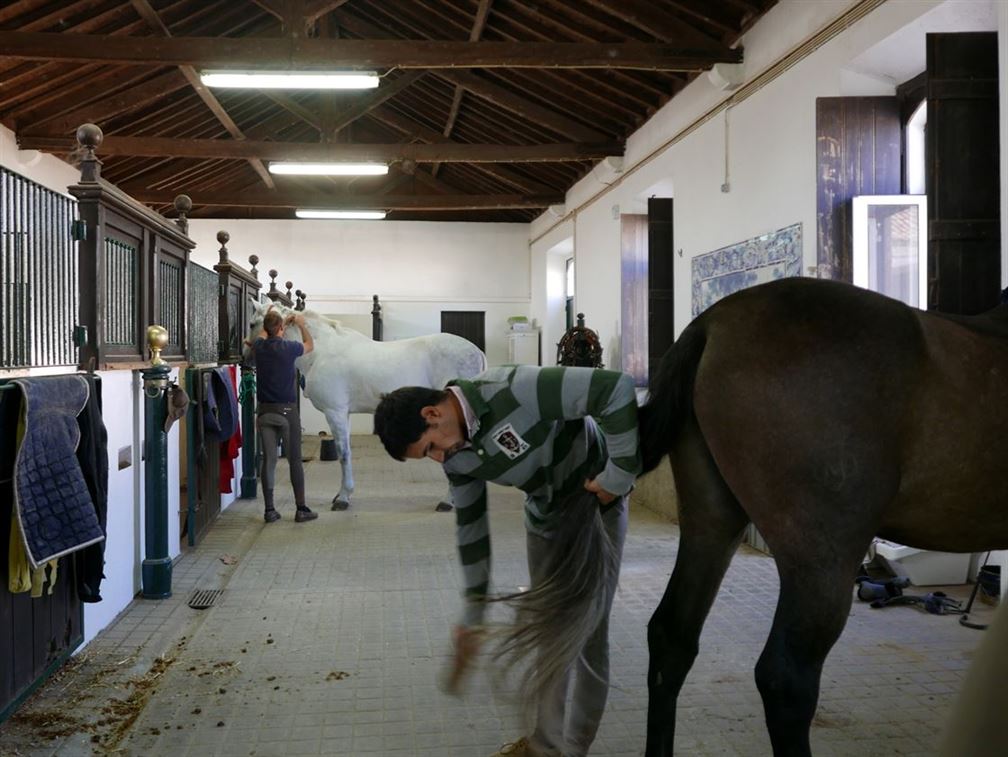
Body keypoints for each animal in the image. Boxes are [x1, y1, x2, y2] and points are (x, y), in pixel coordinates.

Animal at [245, 300, 485, 510]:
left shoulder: (335, 412)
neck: (321, 353)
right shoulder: (344, 413)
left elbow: (343, 454)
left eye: (251, 323)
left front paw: (343, 498)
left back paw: (448, 502)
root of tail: (477, 352)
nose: (246, 357)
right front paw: (342, 494)